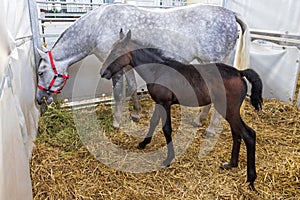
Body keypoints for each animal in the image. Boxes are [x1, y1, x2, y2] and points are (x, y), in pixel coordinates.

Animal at [36, 3, 250, 134]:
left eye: (40, 72)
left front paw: (116, 121)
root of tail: (232, 15)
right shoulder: (126, 64)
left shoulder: (115, 68)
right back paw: (199, 120)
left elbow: (119, 93)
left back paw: (210, 129)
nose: (39, 99)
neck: (96, 26)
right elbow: (131, 87)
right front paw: (136, 114)